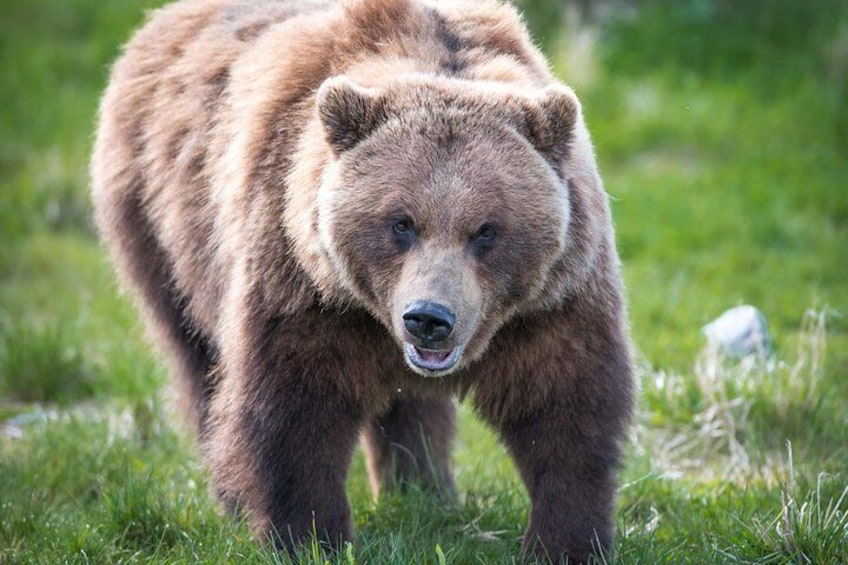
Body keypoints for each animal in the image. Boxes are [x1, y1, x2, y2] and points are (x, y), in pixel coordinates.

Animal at [93, 0, 632, 560]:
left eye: (486, 229)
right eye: (401, 222)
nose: (428, 319)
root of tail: (156, 22)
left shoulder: (552, 299)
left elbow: (566, 406)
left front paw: (566, 542)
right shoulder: (304, 282)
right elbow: (292, 409)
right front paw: (311, 537)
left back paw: (423, 489)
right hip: (162, 228)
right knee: (197, 361)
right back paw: (235, 497)